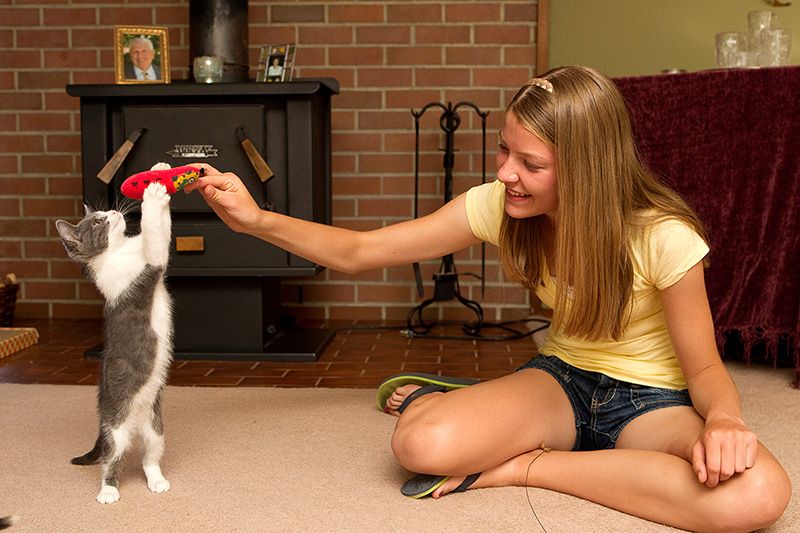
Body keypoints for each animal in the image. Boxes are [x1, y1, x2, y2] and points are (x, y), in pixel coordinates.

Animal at [56, 179, 175, 502]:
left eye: (104, 213)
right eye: (97, 222)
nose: (113, 212)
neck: (119, 251)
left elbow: (162, 233)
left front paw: (160, 179)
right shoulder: (145, 271)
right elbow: (156, 239)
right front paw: (152, 196)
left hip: (156, 426)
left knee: (149, 456)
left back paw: (157, 480)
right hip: (115, 426)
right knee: (112, 458)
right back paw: (108, 491)